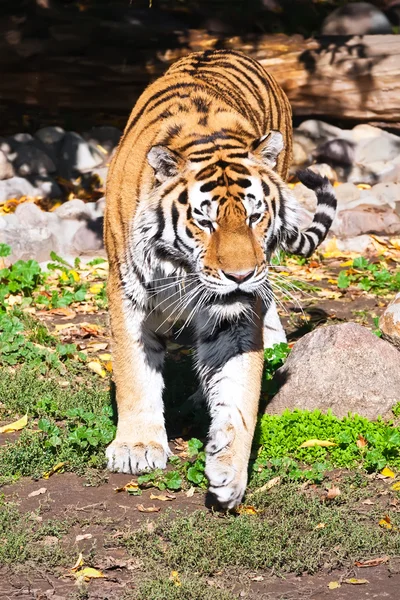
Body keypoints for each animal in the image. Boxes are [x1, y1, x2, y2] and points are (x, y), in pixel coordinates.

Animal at [104, 48, 336, 506]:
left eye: (254, 216)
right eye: (205, 222)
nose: (240, 275)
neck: (179, 268)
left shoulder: (235, 315)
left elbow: (238, 389)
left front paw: (229, 467)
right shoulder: (127, 294)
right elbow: (134, 372)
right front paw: (137, 447)